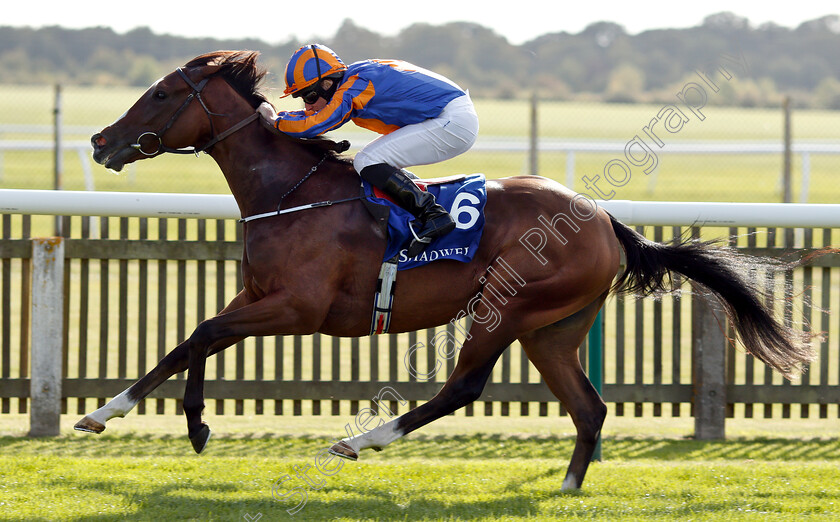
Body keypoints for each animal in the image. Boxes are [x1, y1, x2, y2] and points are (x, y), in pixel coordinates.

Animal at [79, 50, 812, 490]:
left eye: (163, 93)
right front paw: (127, 414)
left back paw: (365, 439)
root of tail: (604, 220)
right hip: (553, 329)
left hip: (508, 306)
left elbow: (201, 335)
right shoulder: (256, 295)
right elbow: (190, 340)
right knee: (589, 407)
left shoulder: (299, 308)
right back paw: (568, 485)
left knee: (465, 386)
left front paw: (167, 420)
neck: (290, 192)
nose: (98, 140)